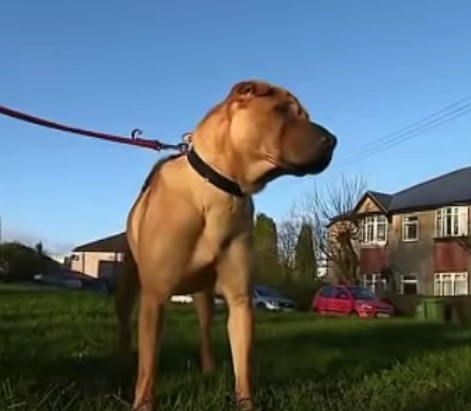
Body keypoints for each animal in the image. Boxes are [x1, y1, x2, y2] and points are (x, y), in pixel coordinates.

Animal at [115, 79, 336, 410]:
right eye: (282, 110)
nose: (333, 141)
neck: (219, 188)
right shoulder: (155, 297)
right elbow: (149, 366)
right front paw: (142, 404)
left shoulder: (241, 298)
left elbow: (243, 364)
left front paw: (246, 403)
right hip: (130, 282)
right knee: (126, 322)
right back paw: (124, 356)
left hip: (204, 294)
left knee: (205, 328)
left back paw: (208, 368)